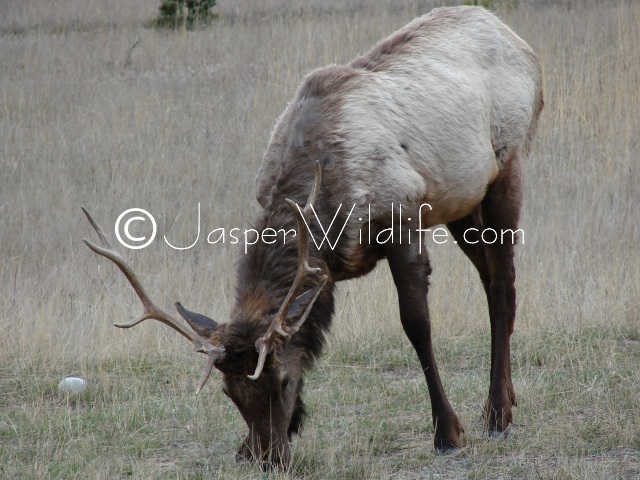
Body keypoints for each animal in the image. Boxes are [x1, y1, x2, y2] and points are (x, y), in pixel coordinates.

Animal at [83, 6, 543, 469]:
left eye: (283, 382)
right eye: (229, 393)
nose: (269, 457)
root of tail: (522, 45)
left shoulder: (402, 217)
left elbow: (416, 323)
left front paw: (447, 432)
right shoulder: (326, 269)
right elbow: (309, 330)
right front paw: (253, 442)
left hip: (507, 166)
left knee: (503, 283)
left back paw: (497, 414)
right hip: (462, 201)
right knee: (490, 277)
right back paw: (507, 399)